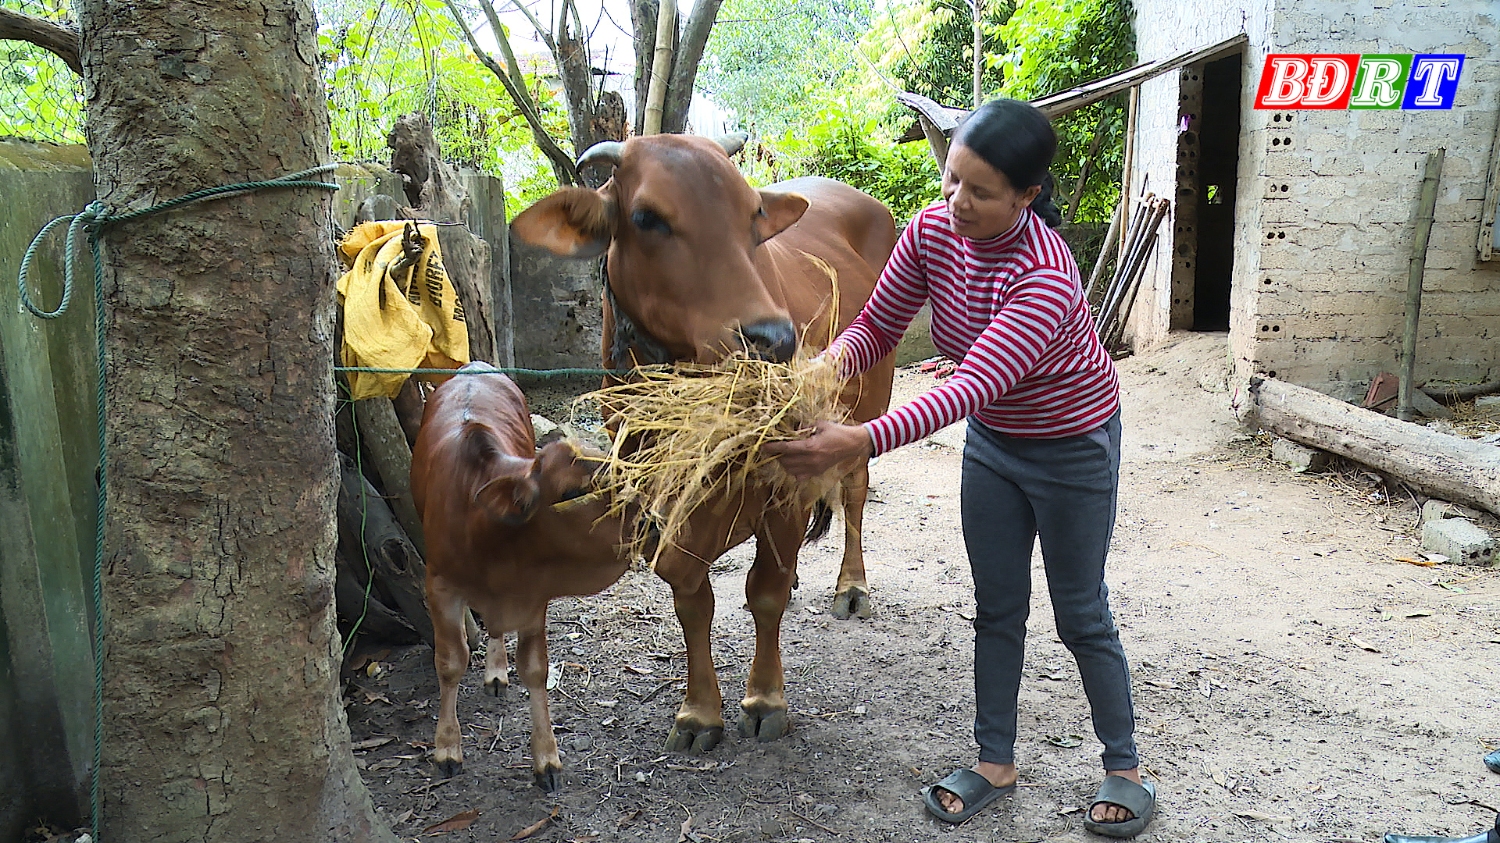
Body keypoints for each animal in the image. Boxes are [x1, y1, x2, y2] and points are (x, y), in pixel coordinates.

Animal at [414, 361, 636, 786]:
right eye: (571, 493)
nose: (647, 513)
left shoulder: (534, 593)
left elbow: (535, 669)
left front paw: (545, 756)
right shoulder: (439, 585)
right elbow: (450, 662)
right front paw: (447, 746)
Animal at [510, 134, 894, 750]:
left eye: (753, 214)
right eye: (647, 217)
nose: (774, 338)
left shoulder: (784, 483)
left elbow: (766, 590)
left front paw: (765, 700)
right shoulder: (661, 498)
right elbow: (691, 597)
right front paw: (698, 712)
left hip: (868, 403)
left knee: (855, 493)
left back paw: (851, 587)